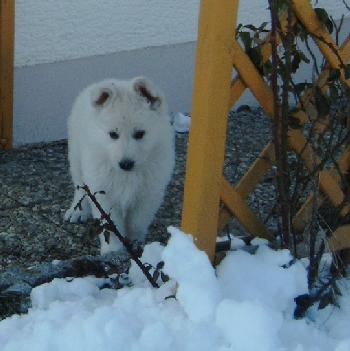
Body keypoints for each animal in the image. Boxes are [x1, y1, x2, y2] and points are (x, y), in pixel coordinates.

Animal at [64, 77, 174, 254]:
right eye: (113, 135)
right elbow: (110, 227)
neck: (127, 175)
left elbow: (137, 222)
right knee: (80, 188)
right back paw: (77, 211)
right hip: (75, 157)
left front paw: (135, 244)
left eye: (140, 134)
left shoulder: (149, 194)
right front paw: (113, 251)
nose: (126, 164)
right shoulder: (103, 192)